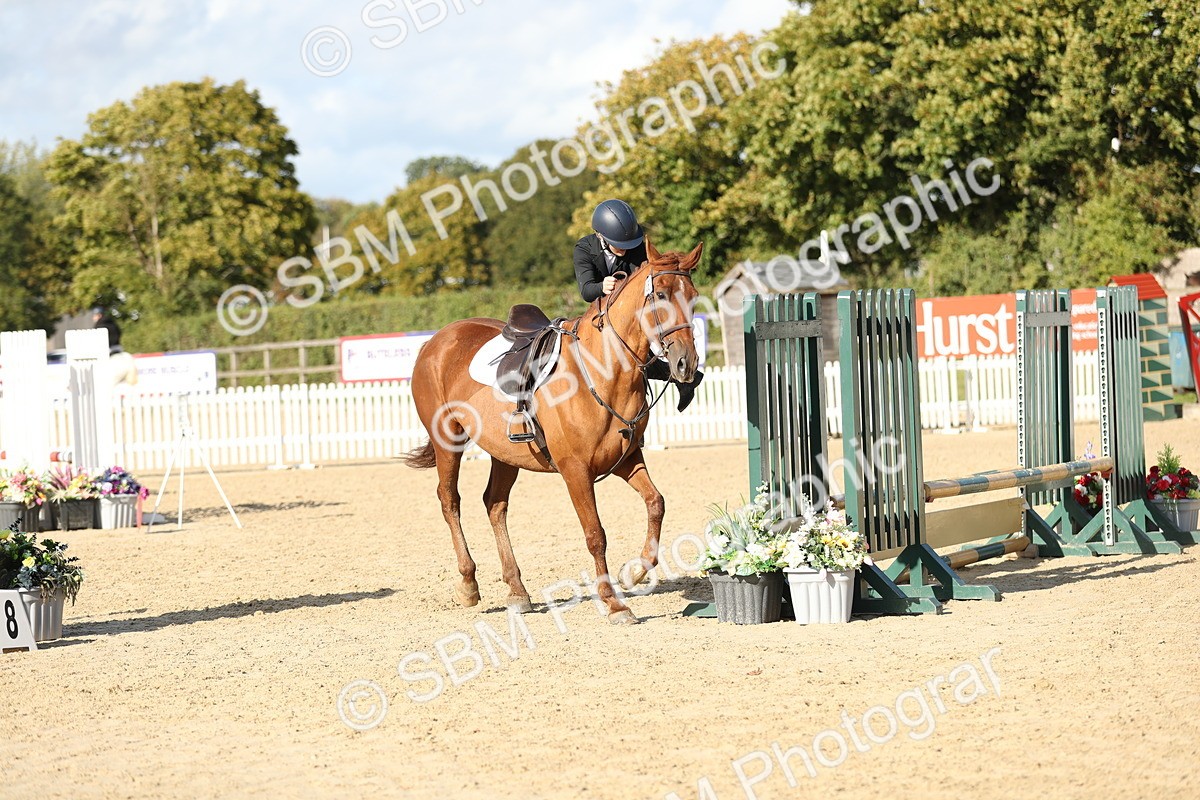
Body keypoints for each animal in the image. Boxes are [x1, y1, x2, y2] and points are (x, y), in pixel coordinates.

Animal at [402, 240, 703, 624]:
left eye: (693, 297)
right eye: (661, 294)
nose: (686, 365)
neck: (605, 371)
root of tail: (435, 341)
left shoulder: (627, 459)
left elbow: (656, 504)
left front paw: (634, 572)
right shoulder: (575, 470)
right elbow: (595, 534)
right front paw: (614, 603)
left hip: (505, 453)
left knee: (495, 504)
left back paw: (517, 591)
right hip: (448, 441)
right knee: (450, 500)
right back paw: (469, 584)